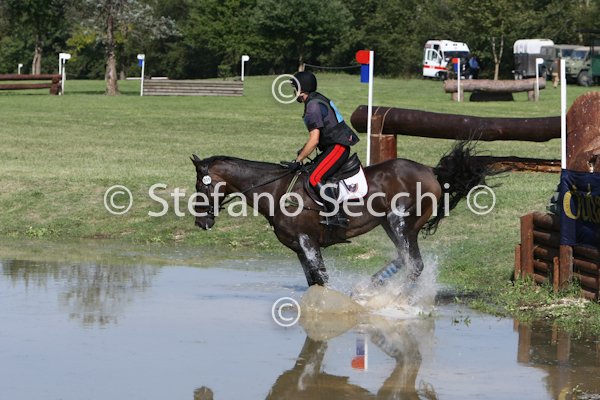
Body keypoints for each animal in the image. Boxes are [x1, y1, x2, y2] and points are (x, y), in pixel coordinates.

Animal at [191, 141, 493, 287]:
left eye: (200, 186)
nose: (200, 222)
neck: (276, 190)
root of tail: (431, 171)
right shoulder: (299, 249)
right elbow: (314, 283)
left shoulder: (308, 243)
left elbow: (323, 279)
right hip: (391, 225)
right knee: (404, 258)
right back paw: (370, 287)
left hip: (401, 222)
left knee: (414, 264)